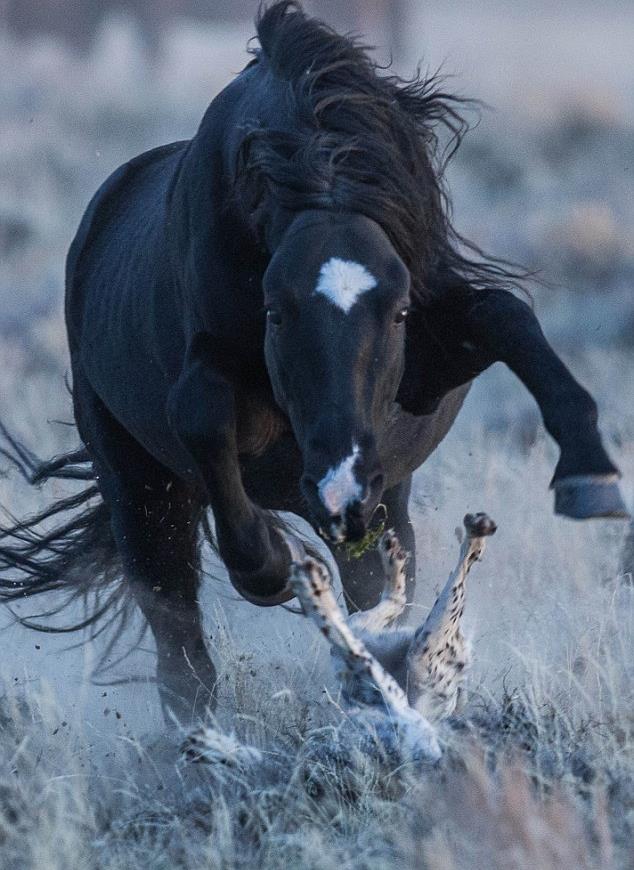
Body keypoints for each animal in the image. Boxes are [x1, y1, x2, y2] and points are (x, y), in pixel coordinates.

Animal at [0, 1, 624, 724]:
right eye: (274, 312)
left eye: (399, 312)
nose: (339, 487)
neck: (321, 181)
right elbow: (205, 421)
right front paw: (276, 563)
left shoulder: (430, 360)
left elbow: (507, 315)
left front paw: (591, 473)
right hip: (140, 486)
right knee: (179, 640)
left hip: (383, 510)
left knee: (371, 584)